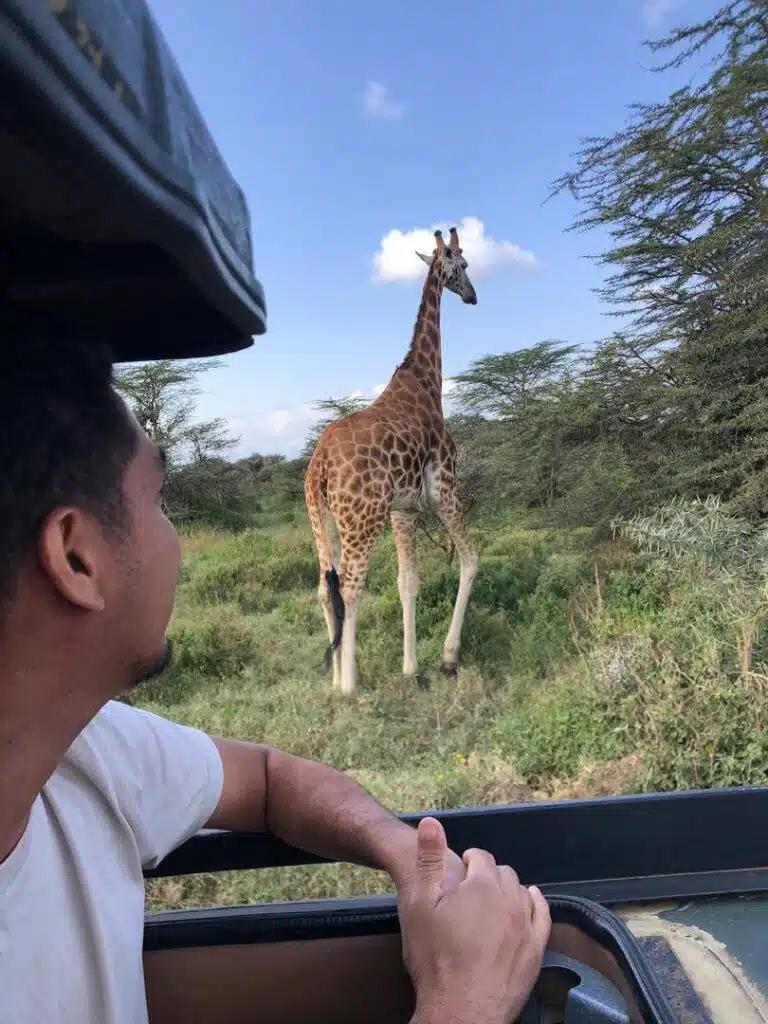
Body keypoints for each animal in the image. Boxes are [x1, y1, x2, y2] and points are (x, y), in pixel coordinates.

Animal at [305, 226, 480, 696]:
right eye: (463, 265)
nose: (472, 296)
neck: (427, 381)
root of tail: (320, 463)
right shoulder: (445, 490)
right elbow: (470, 560)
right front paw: (448, 659)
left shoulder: (404, 510)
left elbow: (408, 582)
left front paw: (410, 668)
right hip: (362, 520)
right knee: (351, 587)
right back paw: (350, 685)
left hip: (321, 520)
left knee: (324, 587)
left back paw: (334, 679)